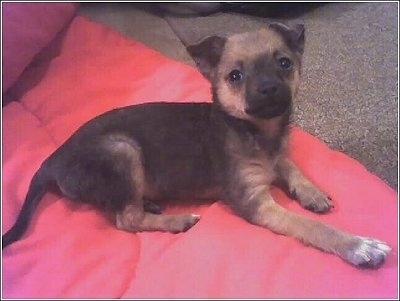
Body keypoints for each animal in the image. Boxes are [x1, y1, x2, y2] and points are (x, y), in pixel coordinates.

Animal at [1, 22, 390, 268]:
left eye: (284, 64)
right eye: (235, 76)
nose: (269, 89)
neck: (257, 132)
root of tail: (53, 159)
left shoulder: (277, 157)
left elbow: (289, 164)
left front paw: (311, 192)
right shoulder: (257, 203)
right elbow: (310, 227)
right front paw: (358, 245)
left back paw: (152, 203)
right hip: (122, 151)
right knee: (126, 219)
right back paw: (176, 220)